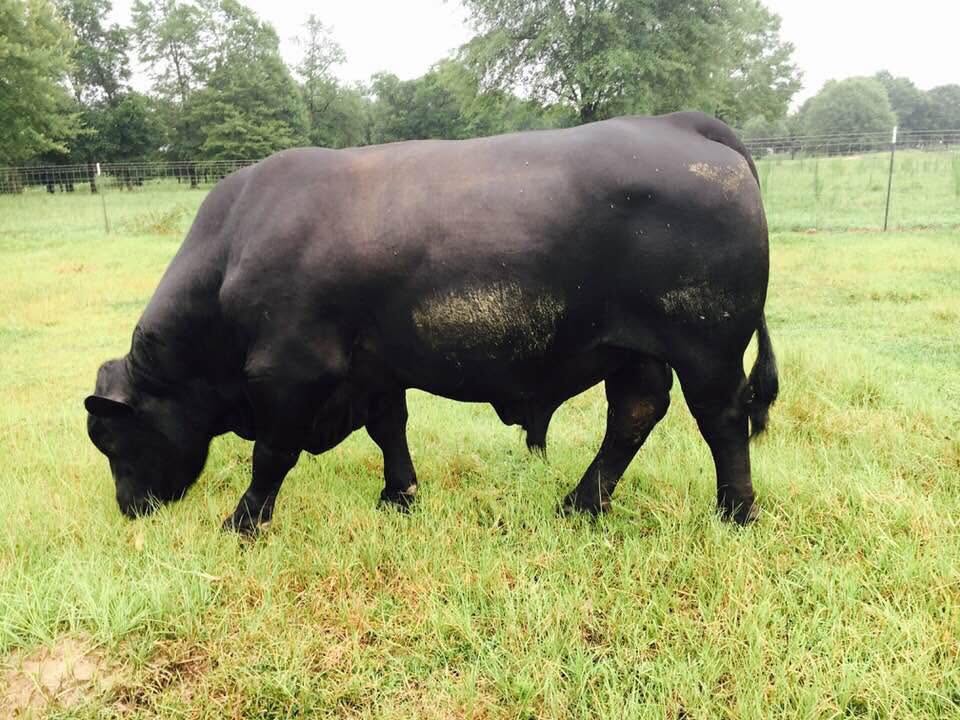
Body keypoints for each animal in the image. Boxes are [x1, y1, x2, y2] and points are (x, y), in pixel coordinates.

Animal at [85, 111, 778, 534]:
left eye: (113, 439)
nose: (128, 508)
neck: (235, 246)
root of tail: (680, 124)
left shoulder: (288, 369)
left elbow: (272, 453)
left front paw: (243, 522)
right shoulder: (373, 367)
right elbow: (389, 429)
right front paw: (399, 497)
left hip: (707, 344)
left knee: (721, 418)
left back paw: (734, 511)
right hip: (635, 349)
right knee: (635, 414)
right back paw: (581, 504)